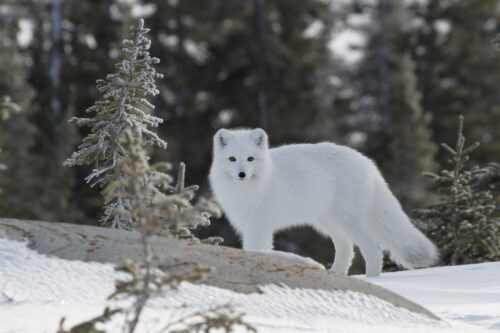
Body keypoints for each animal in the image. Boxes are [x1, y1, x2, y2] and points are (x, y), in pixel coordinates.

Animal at [209, 127, 440, 274]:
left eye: (250, 159)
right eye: (232, 159)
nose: (241, 174)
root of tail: (367, 163)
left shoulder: (259, 228)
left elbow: (257, 250)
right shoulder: (248, 227)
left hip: (348, 220)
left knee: (373, 250)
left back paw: (371, 280)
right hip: (329, 223)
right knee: (347, 249)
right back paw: (336, 275)